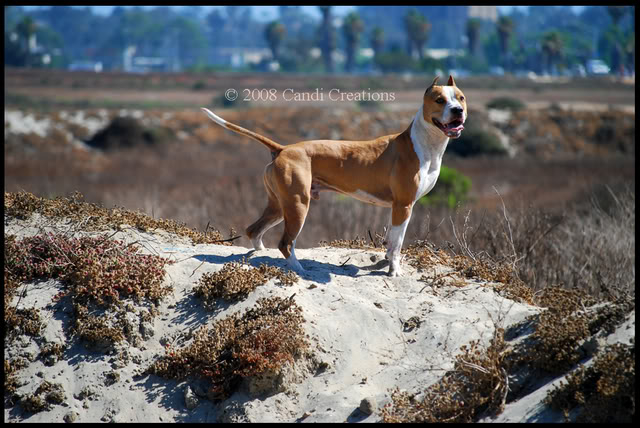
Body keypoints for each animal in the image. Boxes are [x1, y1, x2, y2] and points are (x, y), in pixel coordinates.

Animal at [202, 75, 468, 278]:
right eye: (440, 100)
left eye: (461, 97)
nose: (458, 111)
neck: (426, 144)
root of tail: (283, 148)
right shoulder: (403, 206)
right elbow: (398, 243)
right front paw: (393, 270)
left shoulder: (397, 208)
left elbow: (391, 240)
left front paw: (385, 259)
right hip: (298, 205)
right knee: (285, 243)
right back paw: (299, 269)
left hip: (278, 205)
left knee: (254, 229)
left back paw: (259, 252)